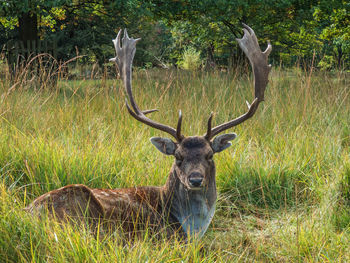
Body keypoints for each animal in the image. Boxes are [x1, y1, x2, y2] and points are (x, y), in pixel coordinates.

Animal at [26, 24, 272, 241]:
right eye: (178, 156)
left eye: (210, 155)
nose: (195, 179)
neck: (192, 229)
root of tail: (27, 213)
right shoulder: (163, 235)